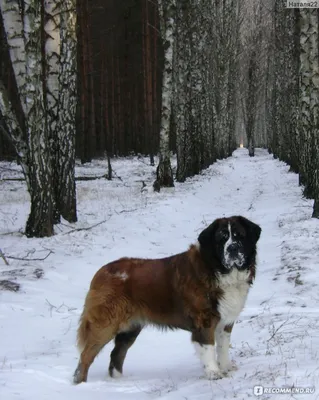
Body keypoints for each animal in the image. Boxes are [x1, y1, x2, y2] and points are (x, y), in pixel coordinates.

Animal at [74, 217, 262, 382]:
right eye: (222, 238)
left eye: (239, 235)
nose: (232, 248)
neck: (217, 270)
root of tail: (101, 273)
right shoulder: (204, 321)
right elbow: (208, 347)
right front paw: (214, 373)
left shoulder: (225, 322)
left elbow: (223, 346)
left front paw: (226, 368)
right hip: (105, 325)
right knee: (85, 356)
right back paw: (81, 383)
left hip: (130, 328)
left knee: (116, 354)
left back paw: (119, 382)